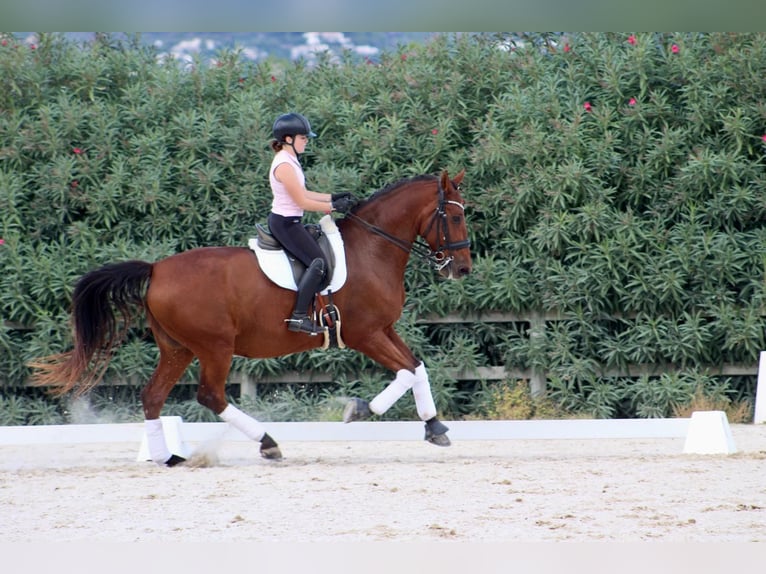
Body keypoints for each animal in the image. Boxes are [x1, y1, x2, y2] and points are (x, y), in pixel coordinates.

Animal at [29, 169, 472, 466]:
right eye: (454, 217)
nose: (463, 269)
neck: (372, 248)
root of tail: (156, 269)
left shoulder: (383, 329)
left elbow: (417, 367)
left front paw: (435, 428)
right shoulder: (365, 333)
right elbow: (406, 372)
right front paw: (359, 410)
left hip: (177, 349)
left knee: (153, 396)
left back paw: (168, 458)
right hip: (215, 346)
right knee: (210, 395)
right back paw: (268, 443)